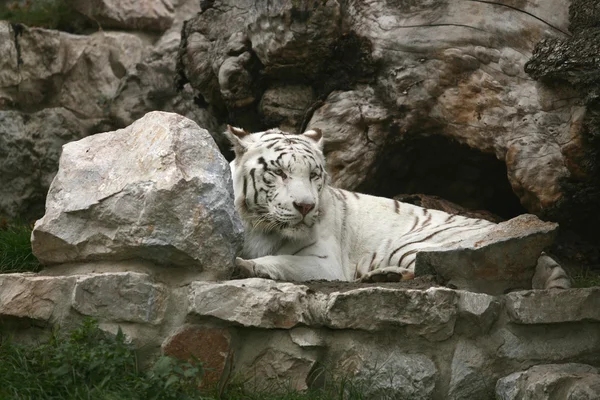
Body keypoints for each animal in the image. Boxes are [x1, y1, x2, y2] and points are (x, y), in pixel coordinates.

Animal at [226, 124, 572, 288]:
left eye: (313, 175)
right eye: (279, 173)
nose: (306, 207)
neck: (260, 224)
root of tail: (544, 254)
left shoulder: (325, 263)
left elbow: (280, 261)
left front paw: (245, 265)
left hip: (416, 244)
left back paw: (384, 277)